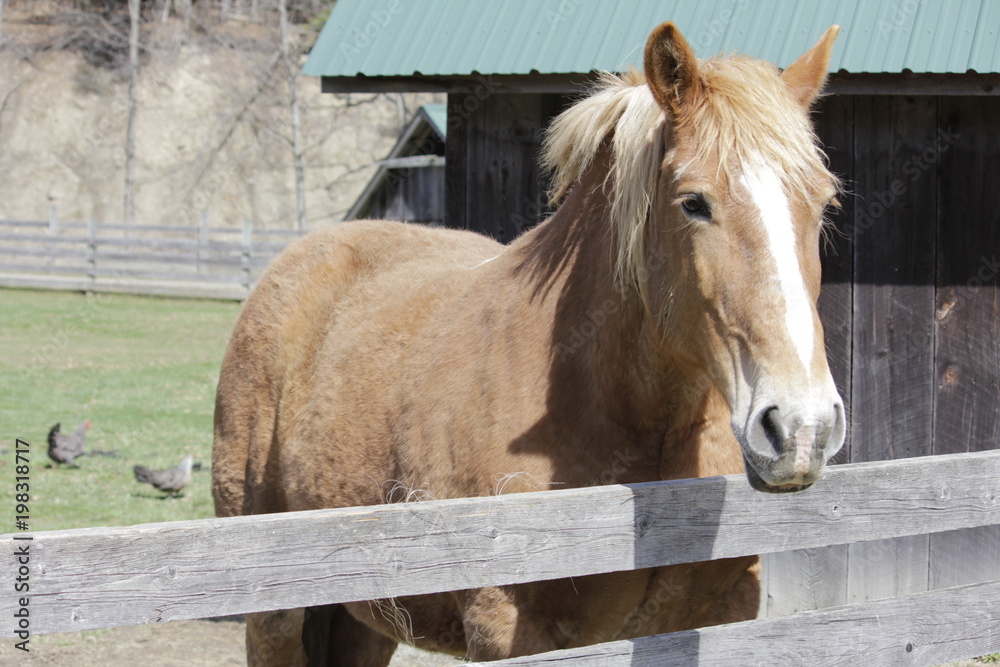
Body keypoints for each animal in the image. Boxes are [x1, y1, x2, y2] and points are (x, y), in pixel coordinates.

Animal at [212, 21, 846, 665]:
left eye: (824, 201)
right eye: (694, 202)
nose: (802, 428)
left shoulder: (722, 618)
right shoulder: (509, 631)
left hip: (366, 617)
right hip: (274, 615)